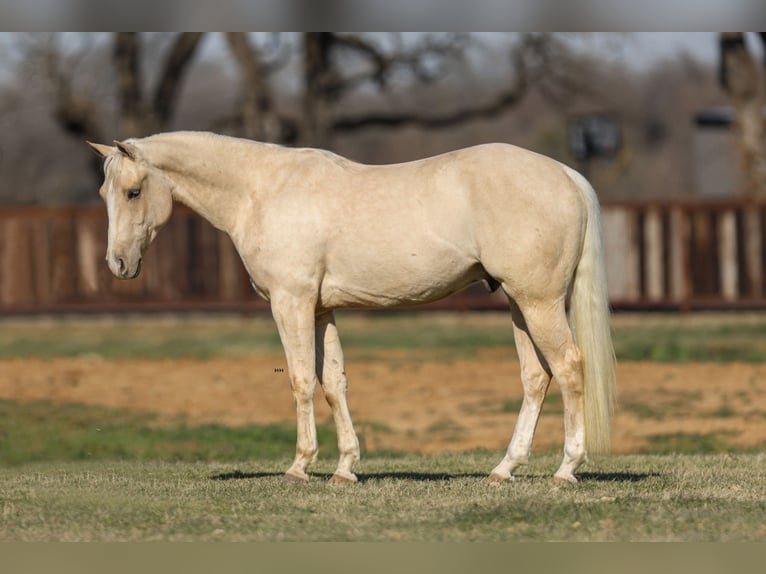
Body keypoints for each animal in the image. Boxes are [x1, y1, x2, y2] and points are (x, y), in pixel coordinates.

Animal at [88, 134, 616, 486]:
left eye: (133, 191)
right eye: (103, 194)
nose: (118, 264)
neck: (262, 190)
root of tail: (565, 174)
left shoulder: (292, 304)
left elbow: (302, 380)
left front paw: (301, 465)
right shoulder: (321, 311)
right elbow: (333, 383)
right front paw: (345, 468)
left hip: (538, 301)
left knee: (569, 368)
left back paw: (567, 468)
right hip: (518, 303)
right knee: (536, 377)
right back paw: (505, 469)